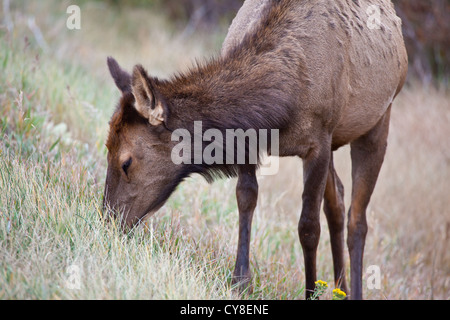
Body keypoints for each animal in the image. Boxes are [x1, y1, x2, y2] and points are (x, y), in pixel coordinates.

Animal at [102, 0, 408, 300]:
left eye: (126, 162)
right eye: (106, 147)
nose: (108, 221)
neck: (278, 110)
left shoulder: (319, 142)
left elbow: (308, 226)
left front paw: (309, 291)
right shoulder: (249, 140)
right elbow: (246, 199)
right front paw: (240, 282)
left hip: (378, 119)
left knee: (357, 219)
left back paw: (351, 290)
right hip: (336, 141)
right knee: (338, 202)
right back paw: (339, 289)